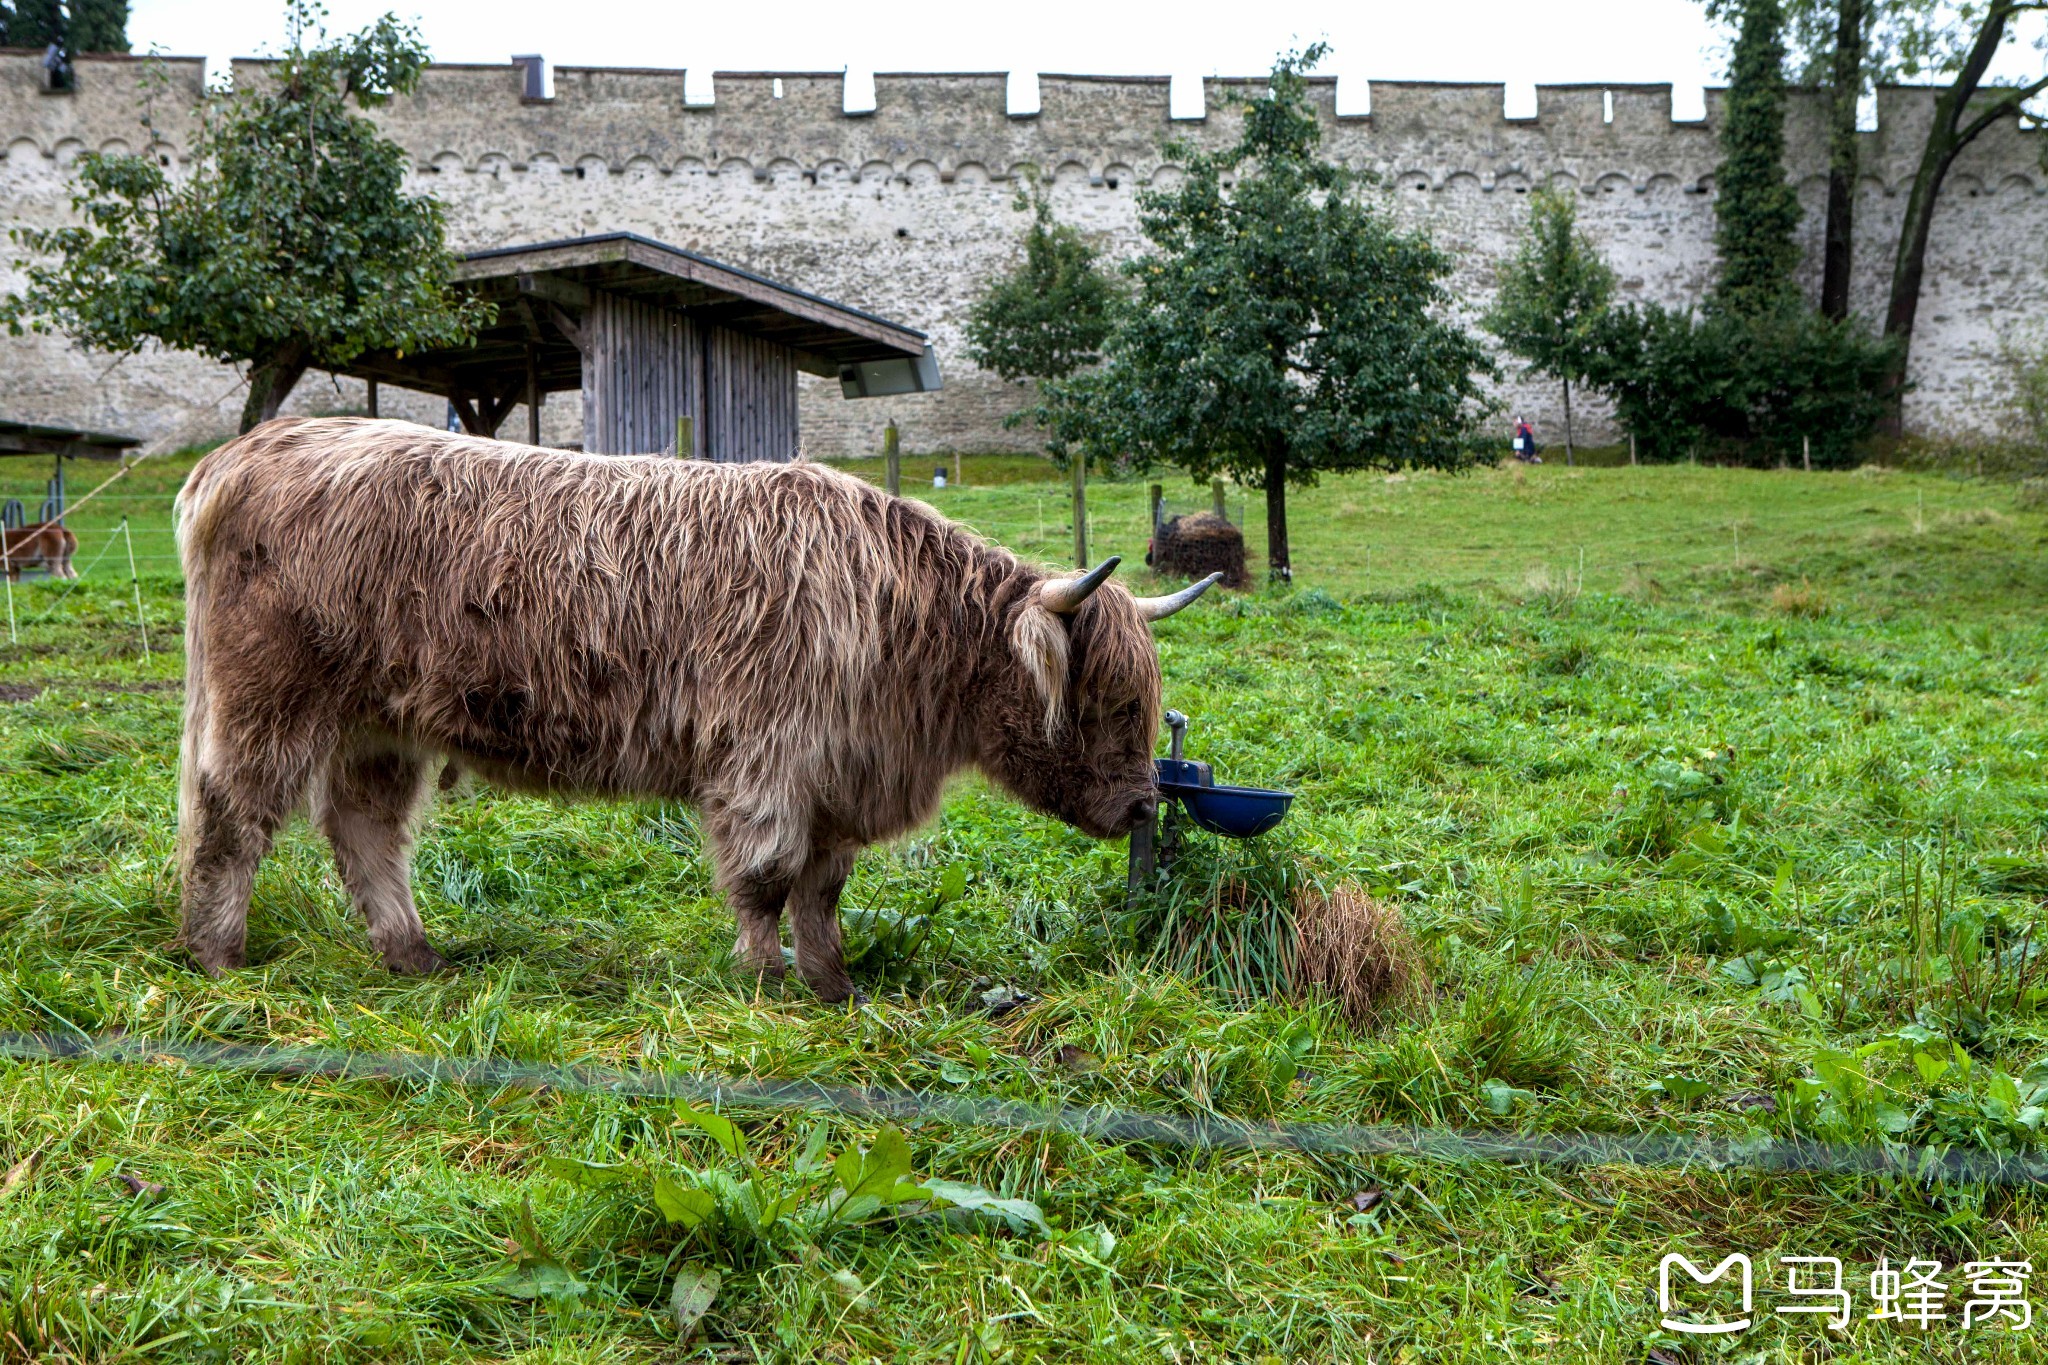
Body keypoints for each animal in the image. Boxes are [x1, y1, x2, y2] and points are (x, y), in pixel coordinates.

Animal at [176, 419, 1212, 1002]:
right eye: (1110, 700)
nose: (1142, 805)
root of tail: (245, 451)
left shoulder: (837, 776)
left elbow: (824, 889)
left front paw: (835, 985)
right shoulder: (768, 760)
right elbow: (769, 877)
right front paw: (765, 981)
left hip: (379, 722)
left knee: (364, 827)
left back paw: (412, 953)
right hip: (270, 696)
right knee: (234, 812)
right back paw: (218, 954)